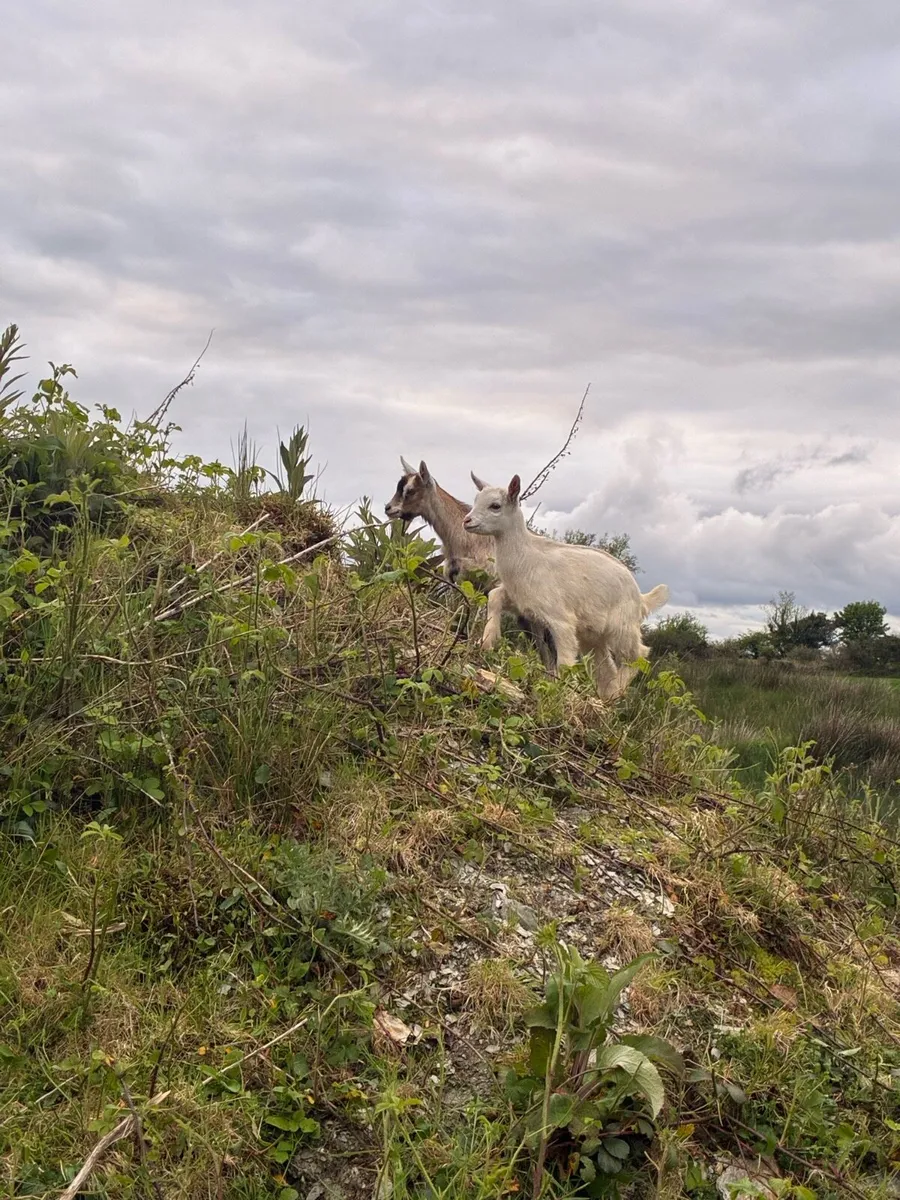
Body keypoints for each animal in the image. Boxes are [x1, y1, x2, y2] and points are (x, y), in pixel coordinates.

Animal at [463, 472, 669, 698]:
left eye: (495, 506)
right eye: (476, 500)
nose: (467, 521)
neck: (527, 556)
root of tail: (642, 599)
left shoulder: (561, 619)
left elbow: (565, 662)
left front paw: (559, 692)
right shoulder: (521, 601)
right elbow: (494, 596)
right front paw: (487, 641)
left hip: (623, 627)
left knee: (639, 655)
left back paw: (619, 689)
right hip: (593, 636)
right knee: (605, 666)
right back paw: (608, 696)